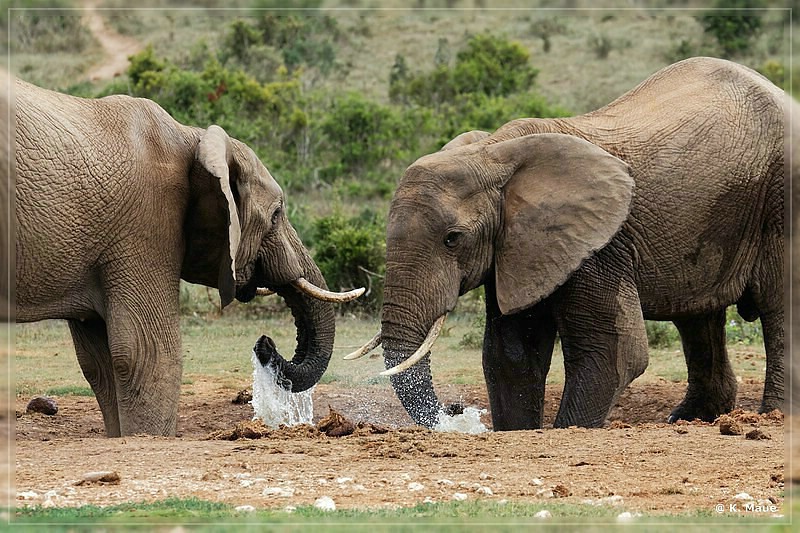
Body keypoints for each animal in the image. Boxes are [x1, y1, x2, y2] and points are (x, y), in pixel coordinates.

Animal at [14, 79, 360, 436]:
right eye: (277, 215)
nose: (265, 342)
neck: (191, 138)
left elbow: (98, 361)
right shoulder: (147, 222)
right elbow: (146, 354)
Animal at [354, 57, 784, 428]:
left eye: (452, 239)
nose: (457, 410)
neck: (493, 153)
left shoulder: (600, 245)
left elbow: (614, 351)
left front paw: (567, 428)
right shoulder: (519, 246)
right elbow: (511, 353)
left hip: (781, 193)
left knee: (777, 307)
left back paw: (774, 417)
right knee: (697, 317)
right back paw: (689, 418)